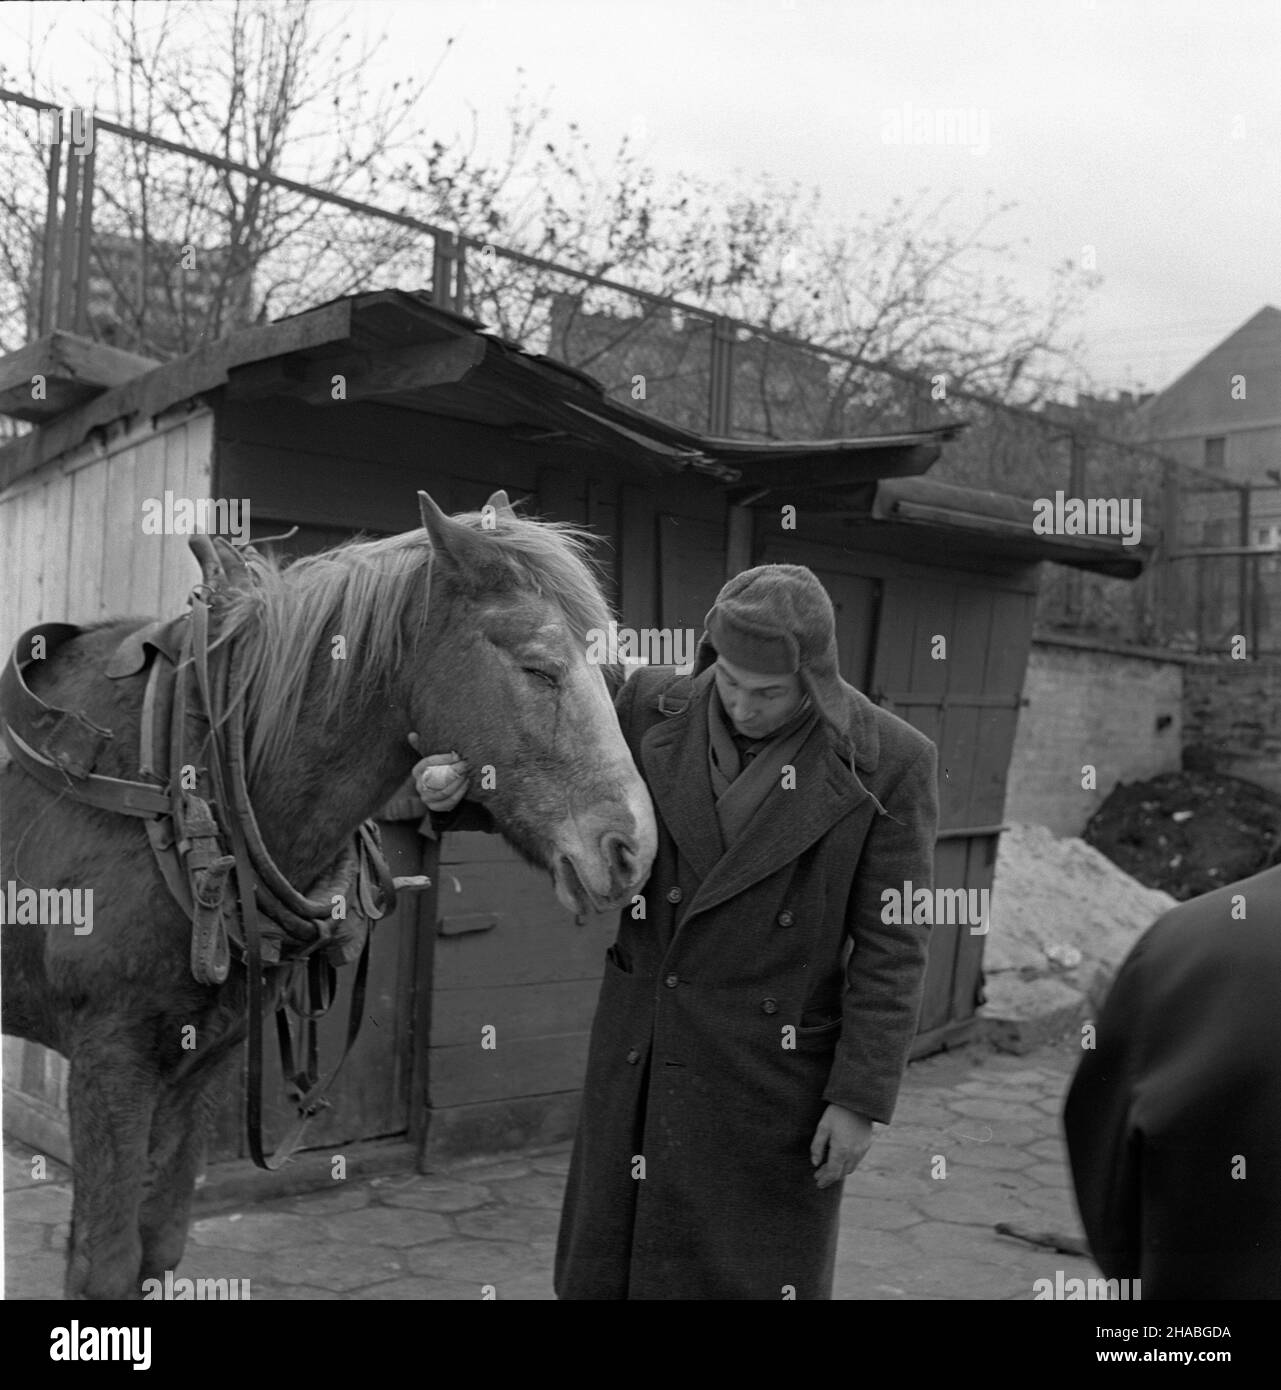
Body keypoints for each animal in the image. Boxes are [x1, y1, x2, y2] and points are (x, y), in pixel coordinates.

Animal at [0, 483, 653, 1295]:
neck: (182, 779)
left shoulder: (200, 1062)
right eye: (538, 669)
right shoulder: (110, 1058)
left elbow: (159, 1244)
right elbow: (107, 1265)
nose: (631, 848)